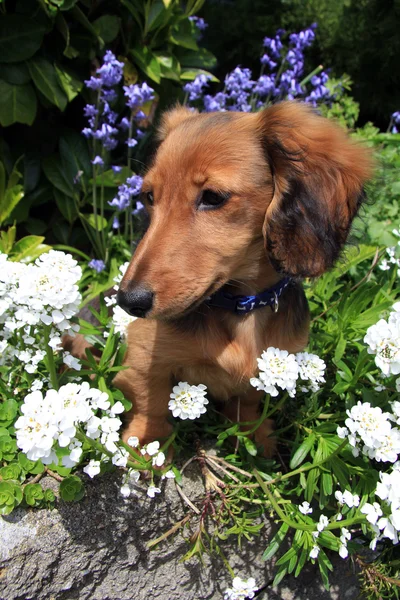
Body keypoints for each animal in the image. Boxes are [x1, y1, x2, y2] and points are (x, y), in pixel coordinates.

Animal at [69, 101, 372, 454]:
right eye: (149, 197)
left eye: (212, 197)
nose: (129, 302)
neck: (241, 306)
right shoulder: (145, 355)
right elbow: (151, 400)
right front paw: (146, 445)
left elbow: (250, 404)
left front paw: (255, 437)